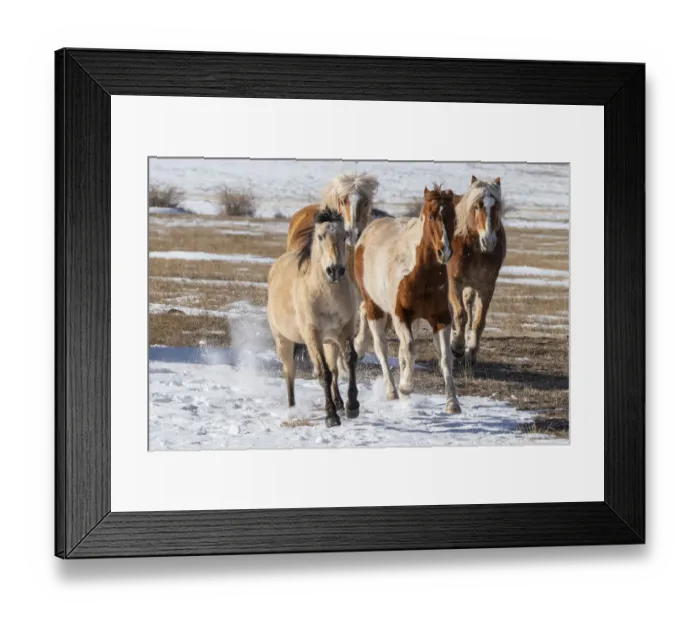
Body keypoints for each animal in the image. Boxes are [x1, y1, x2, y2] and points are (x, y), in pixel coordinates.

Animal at [267, 207, 360, 428]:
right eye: (320, 236)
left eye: (344, 235)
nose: (335, 270)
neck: (327, 295)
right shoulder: (312, 335)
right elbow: (323, 373)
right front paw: (331, 417)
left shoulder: (345, 329)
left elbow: (350, 359)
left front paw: (352, 406)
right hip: (283, 340)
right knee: (289, 372)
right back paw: (292, 408)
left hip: (330, 342)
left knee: (334, 369)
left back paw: (339, 402)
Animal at [353, 184, 461, 414]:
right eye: (431, 215)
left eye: (453, 217)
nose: (445, 251)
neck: (421, 273)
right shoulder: (401, 315)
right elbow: (410, 348)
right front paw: (405, 387)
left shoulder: (441, 318)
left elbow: (445, 357)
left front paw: (453, 403)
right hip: (375, 307)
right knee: (381, 346)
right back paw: (392, 390)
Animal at [447, 175, 507, 366]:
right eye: (476, 206)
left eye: (496, 206)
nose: (488, 241)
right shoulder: (454, 282)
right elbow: (460, 315)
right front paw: (457, 347)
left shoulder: (486, 286)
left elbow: (479, 320)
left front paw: (471, 350)